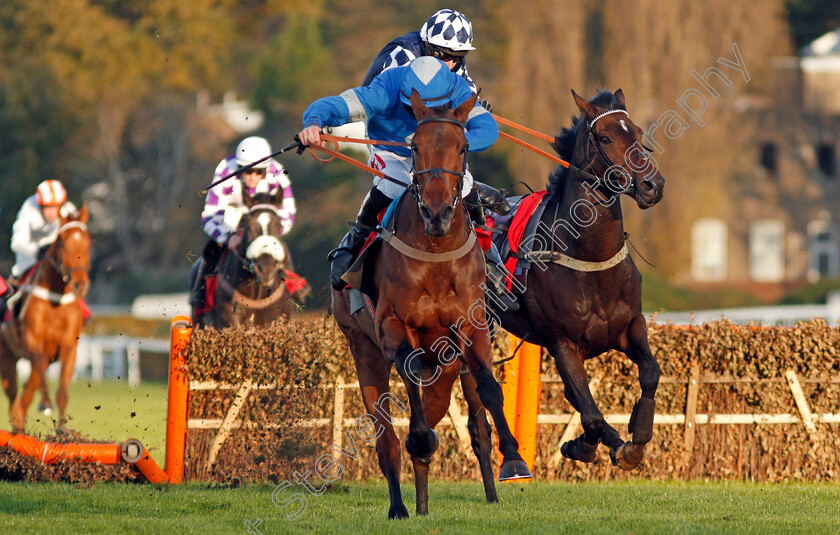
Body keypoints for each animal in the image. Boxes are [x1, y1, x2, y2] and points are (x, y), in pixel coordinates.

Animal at [332, 91, 528, 520]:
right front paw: (421, 440)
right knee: (386, 436)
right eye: (415, 147)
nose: (437, 213)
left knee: (473, 426)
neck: (437, 253)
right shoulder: (393, 327)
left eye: (463, 147)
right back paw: (403, 506)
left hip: (451, 362)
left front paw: (514, 459)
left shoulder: (472, 331)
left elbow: (490, 390)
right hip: (363, 347)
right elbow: (409, 379)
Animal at [496, 89, 668, 474]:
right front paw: (587, 445)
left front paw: (633, 439)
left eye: (637, 132)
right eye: (604, 138)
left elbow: (650, 372)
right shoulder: (562, 344)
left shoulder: (630, 325)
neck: (591, 263)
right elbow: (587, 410)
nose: (653, 185)